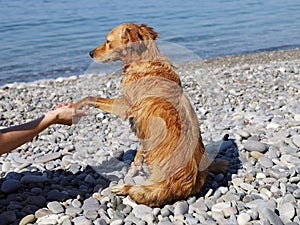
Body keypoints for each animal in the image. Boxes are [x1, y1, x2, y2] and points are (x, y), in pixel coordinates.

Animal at [75, 23, 227, 207]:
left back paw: (123, 187)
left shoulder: (124, 107)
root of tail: (193, 182)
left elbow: (92, 97)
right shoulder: (141, 125)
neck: (145, 61)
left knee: (135, 191)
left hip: (150, 190)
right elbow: (141, 146)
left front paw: (76, 105)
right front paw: (135, 167)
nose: (90, 53)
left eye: (108, 42)